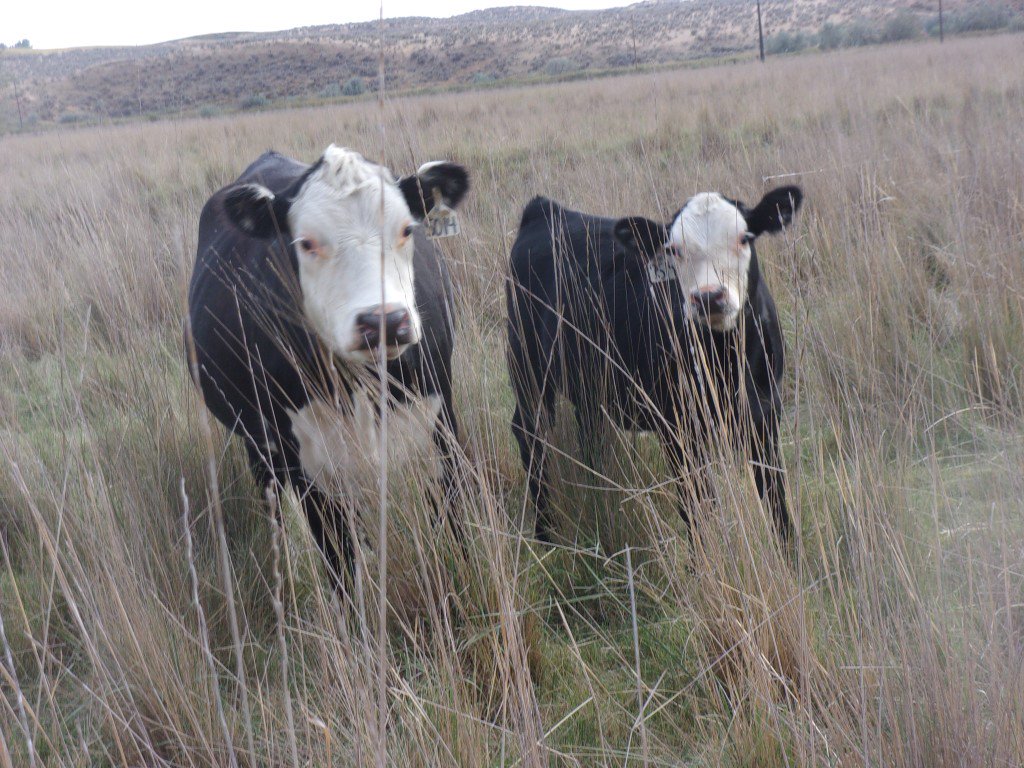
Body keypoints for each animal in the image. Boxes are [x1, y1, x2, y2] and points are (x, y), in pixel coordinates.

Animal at [187, 146, 470, 585]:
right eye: (306, 243)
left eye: (407, 229)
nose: (384, 320)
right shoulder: (310, 469)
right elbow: (340, 567)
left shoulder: (440, 427)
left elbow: (454, 531)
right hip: (259, 444)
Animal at [506, 186, 803, 544]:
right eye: (673, 250)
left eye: (744, 237)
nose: (708, 296)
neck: (724, 360)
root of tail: (546, 210)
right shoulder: (677, 428)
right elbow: (696, 509)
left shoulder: (765, 415)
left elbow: (777, 503)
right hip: (528, 367)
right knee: (529, 433)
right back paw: (545, 532)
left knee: (589, 434)